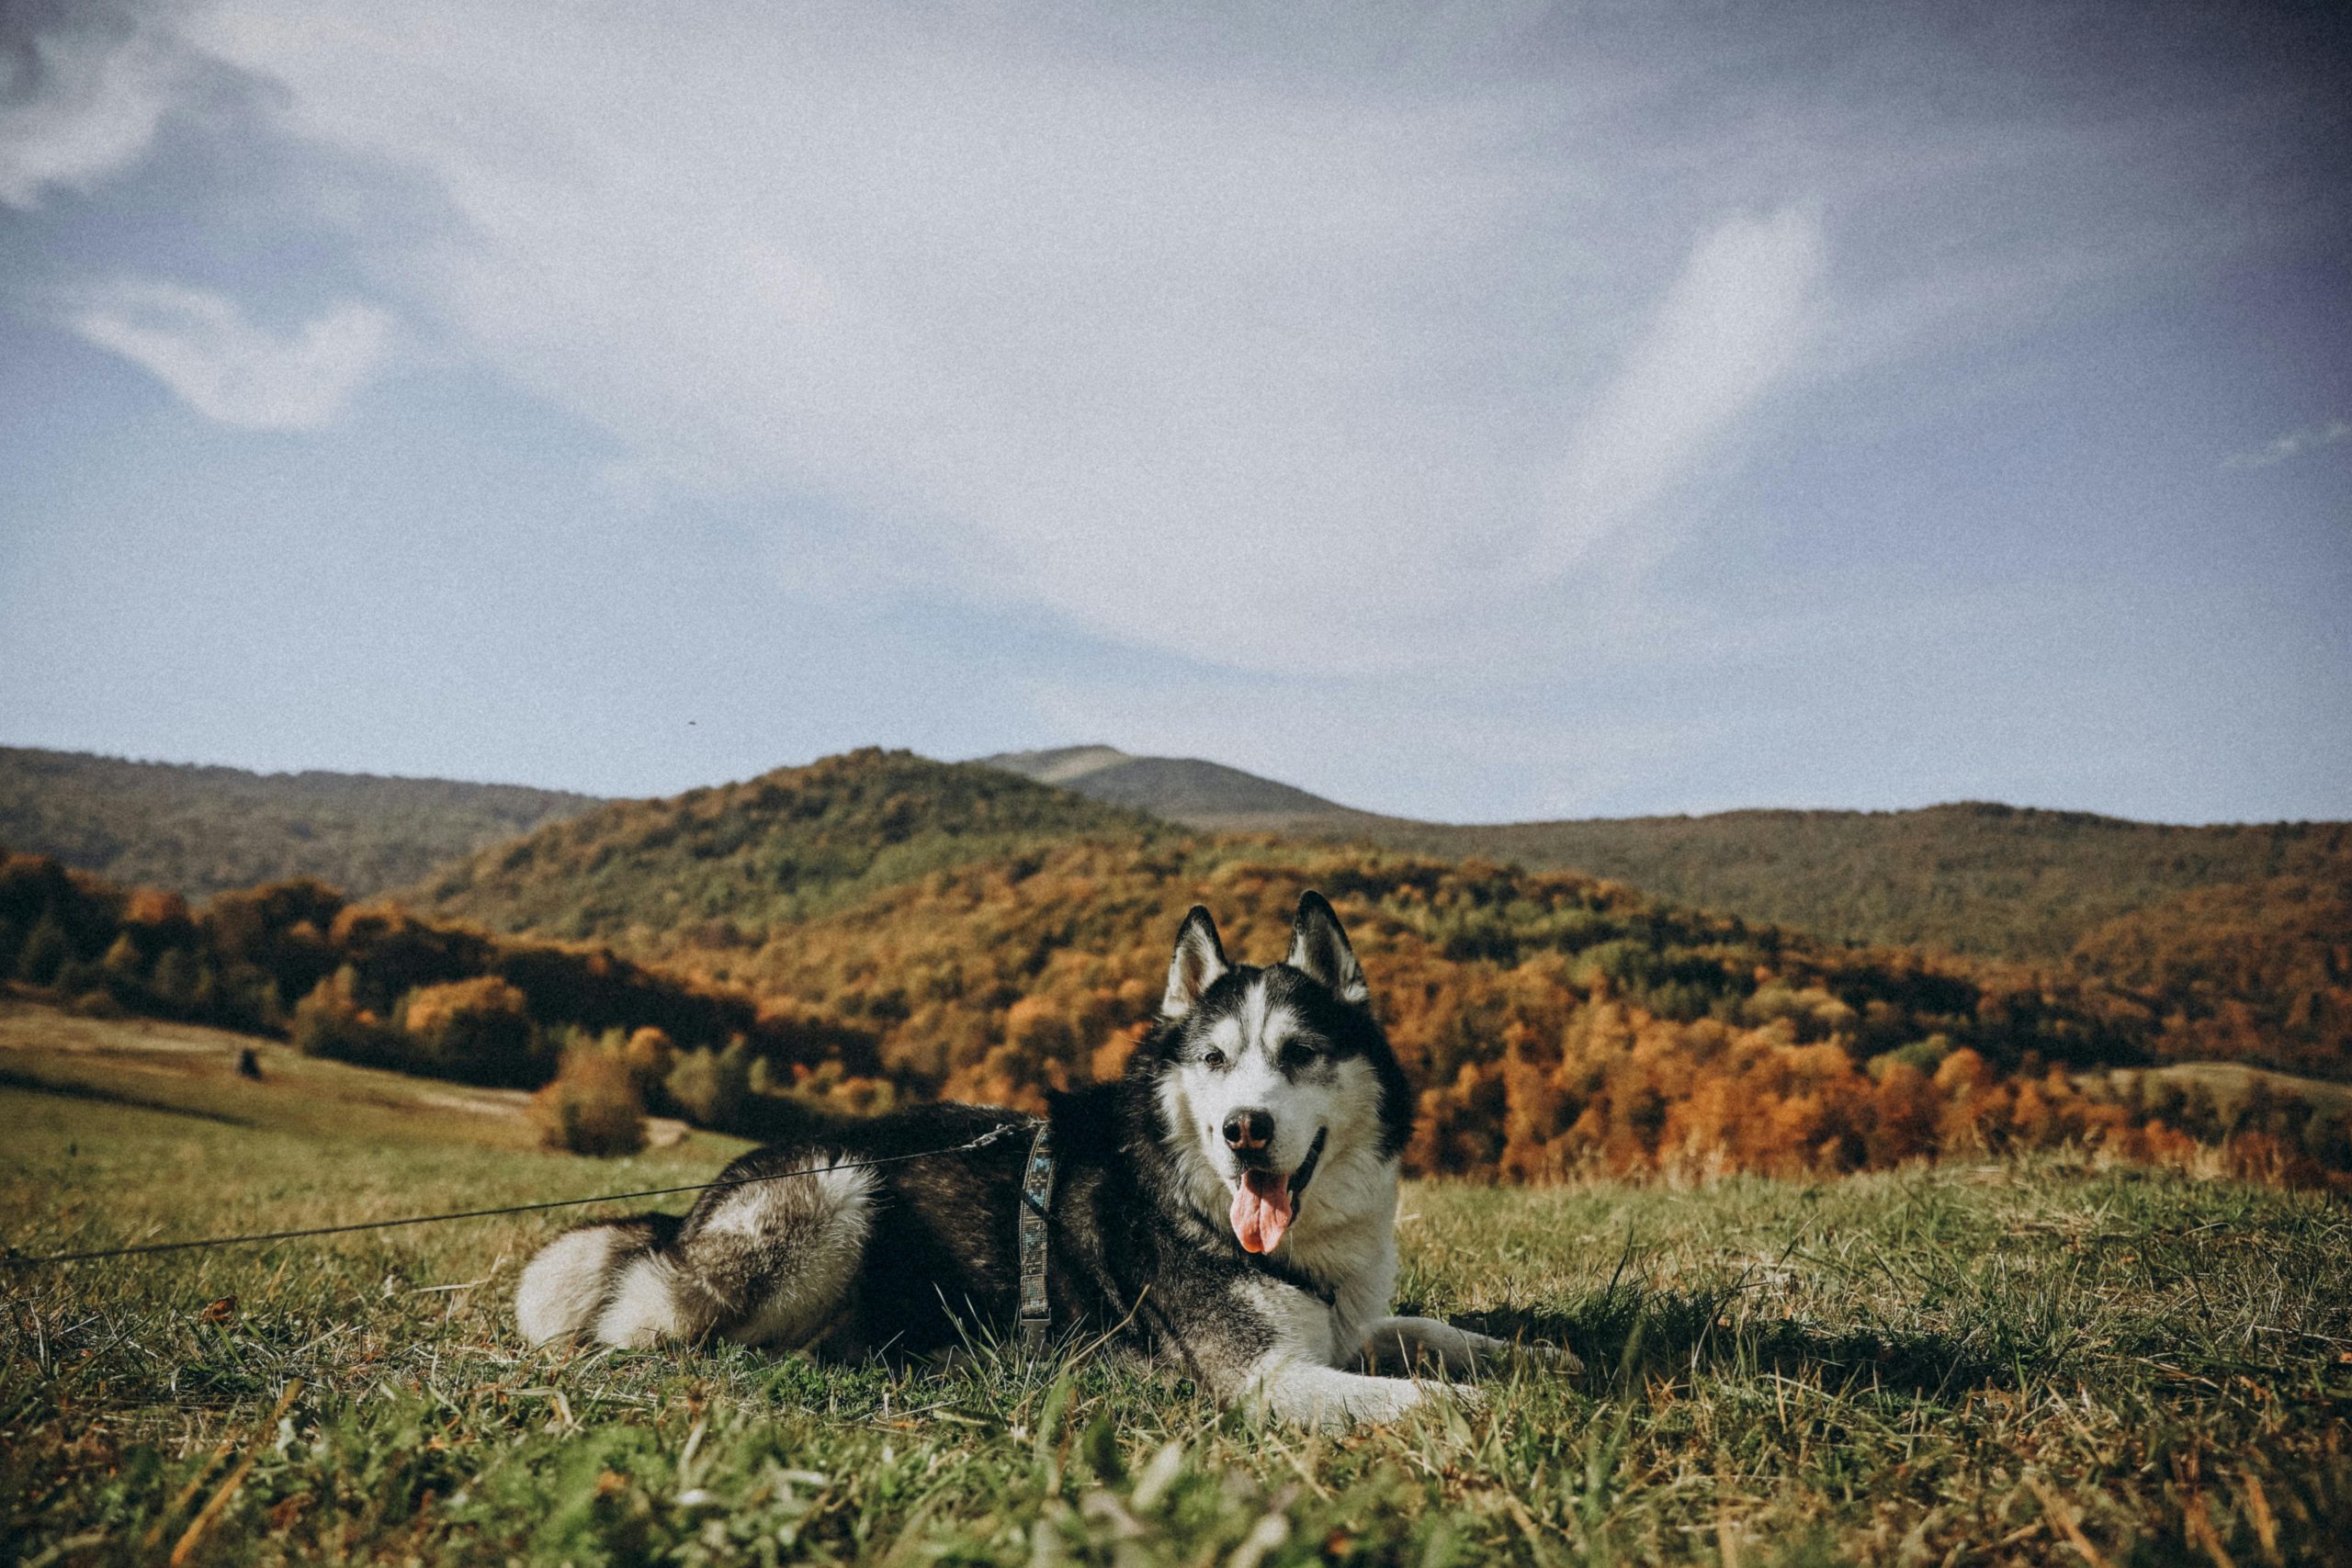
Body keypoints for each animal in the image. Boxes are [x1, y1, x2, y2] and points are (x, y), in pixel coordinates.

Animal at [524, 893, 1571, 1419]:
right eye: (1214, 1060)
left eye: (1300, 1054)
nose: (1243, 1130)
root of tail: (688, 1211)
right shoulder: (1266, 1381)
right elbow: (1427, 1399)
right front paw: (1511, 1410)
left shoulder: (1349, 1327)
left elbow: (1426, 1330)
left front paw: (1531, 1356)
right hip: (834, 1189)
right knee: (666, 1329)